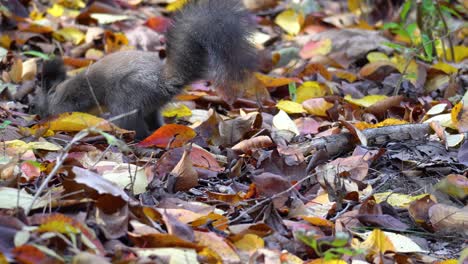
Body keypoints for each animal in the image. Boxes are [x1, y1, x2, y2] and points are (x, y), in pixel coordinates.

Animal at [31, 0, 258, 140]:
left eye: (36, 102)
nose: (35, 113)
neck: (56, 93)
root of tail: (163, 82)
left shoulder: (70, 102)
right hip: (150, 107)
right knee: (154, 122)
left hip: (126, 98)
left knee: (134, 126)